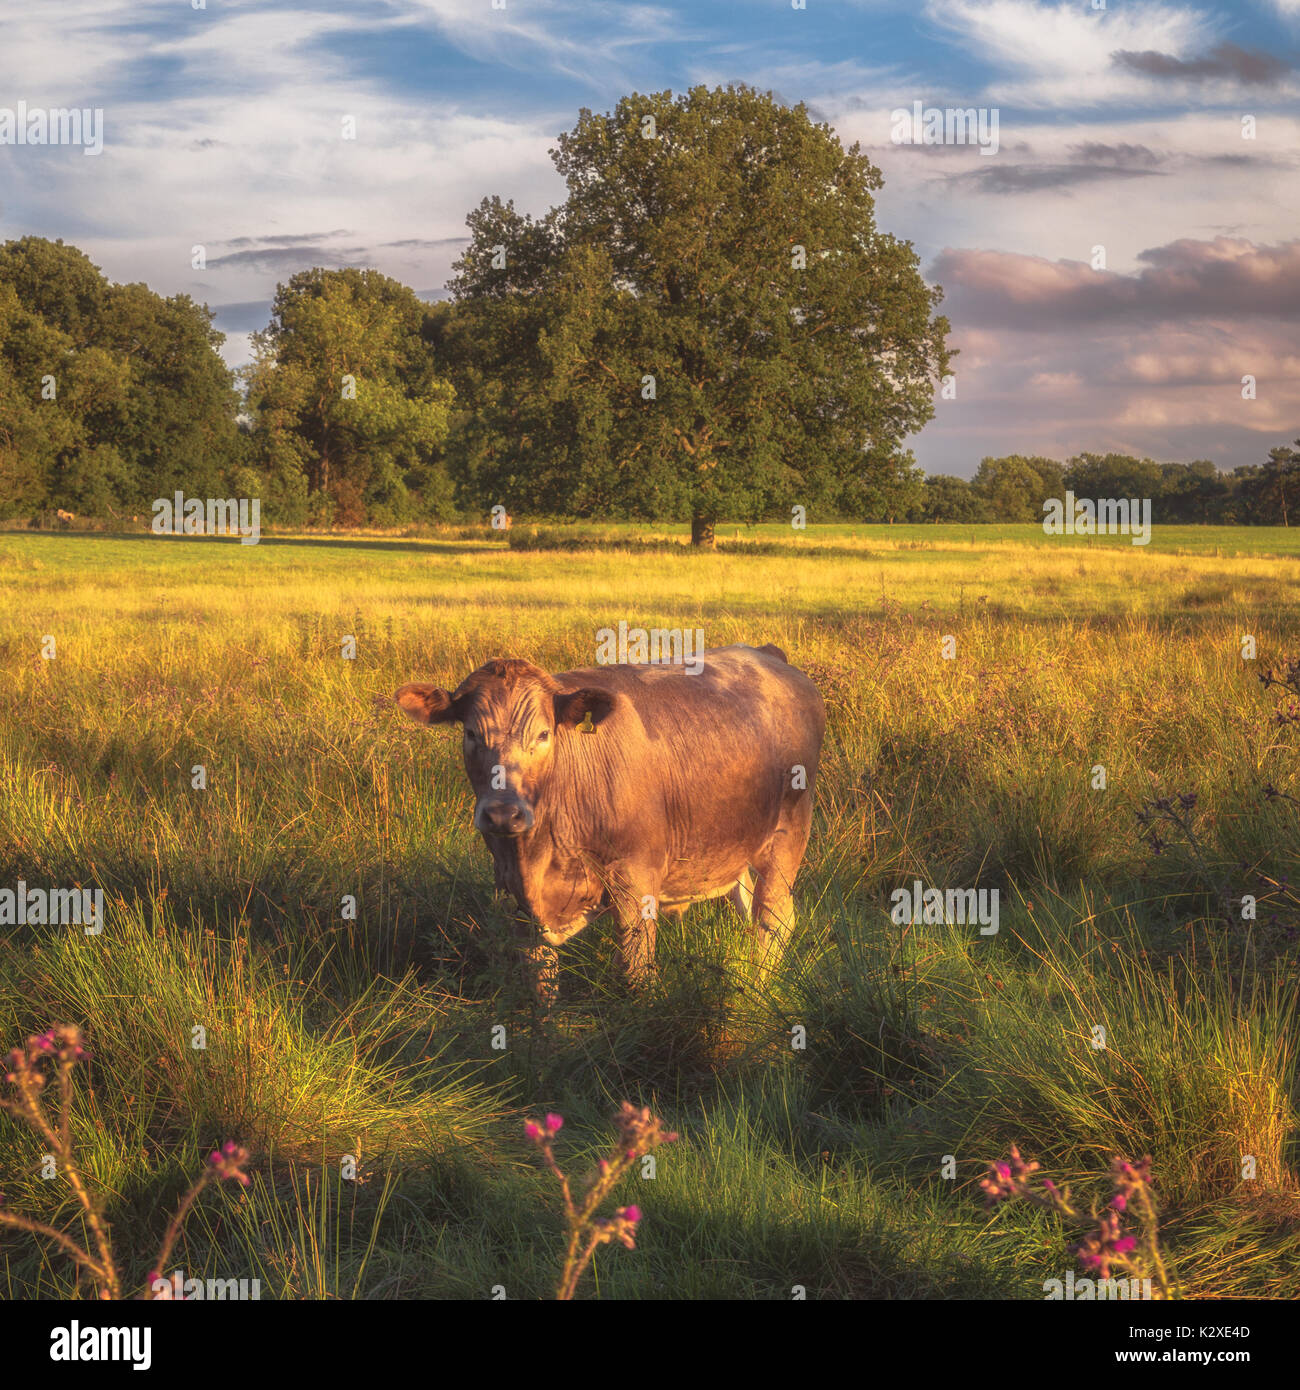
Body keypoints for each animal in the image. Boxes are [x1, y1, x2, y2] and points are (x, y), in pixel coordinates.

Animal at [396, 644, 825, 1003]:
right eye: (470, 733)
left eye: (543, 734)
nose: (503, 812)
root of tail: (765, 654)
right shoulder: (514, 894)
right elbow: (541, 985)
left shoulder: (636, 880)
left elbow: (637, 972)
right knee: (747, 903)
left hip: (789, 829)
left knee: (773, 917)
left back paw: (760, 987)